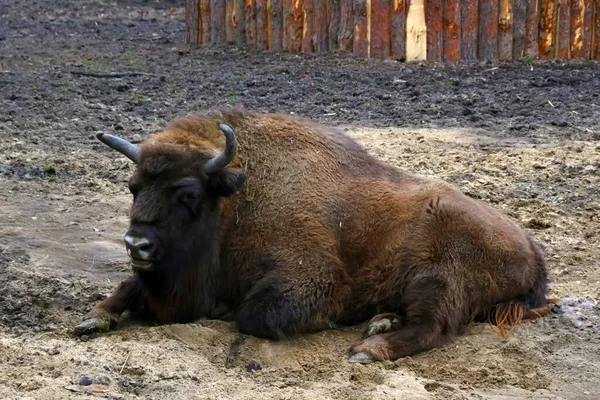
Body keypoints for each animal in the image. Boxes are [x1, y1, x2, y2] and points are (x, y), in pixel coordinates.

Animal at [79, 108, 552, 364]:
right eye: (133, 187)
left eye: (188, 193)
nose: (137, 245)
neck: (240, 198)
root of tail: (532, 248)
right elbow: (127, 286)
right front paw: (94, 317)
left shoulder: (314, 277)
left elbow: (254, 316)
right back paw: (381, 319)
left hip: (438, 277)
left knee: (434, 327)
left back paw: (368, 347)